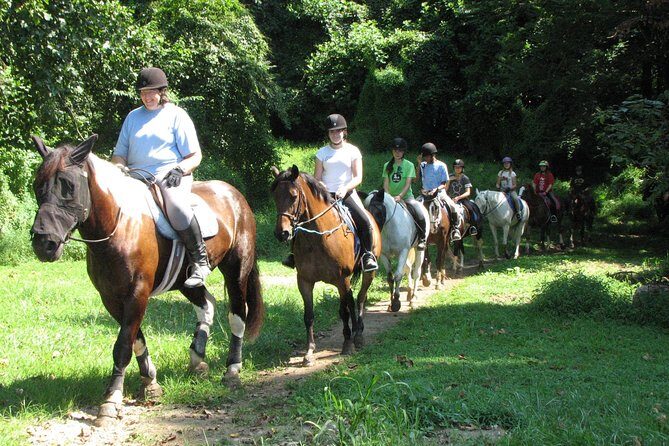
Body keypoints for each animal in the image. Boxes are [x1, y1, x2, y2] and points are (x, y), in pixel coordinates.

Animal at [30, 134, 263, 426]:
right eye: (37, 185)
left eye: (69, 186)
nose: (44, 244)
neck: (119, 225)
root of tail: (233, 194)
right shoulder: (111, 298)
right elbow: (135, 339)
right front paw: (150, 383)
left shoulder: (137, 293)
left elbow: (122, 346)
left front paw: (110, 402)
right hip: (185, 281)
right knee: (206, 304)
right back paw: (197, 358)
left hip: (236, 270)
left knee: (237, 315)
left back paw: (232, 369)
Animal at [270, 165, 381, 366]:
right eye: (275, 196)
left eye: (293, 196)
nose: (282, 233)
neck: (318, 237)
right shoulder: (304, 281)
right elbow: (309, 316)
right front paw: (309, 353)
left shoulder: (341, 280)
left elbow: (343, 312)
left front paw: (347, 345)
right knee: (352, 300)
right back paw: (354, 331)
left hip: (368, 274)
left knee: (360, 298)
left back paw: (358, 336)